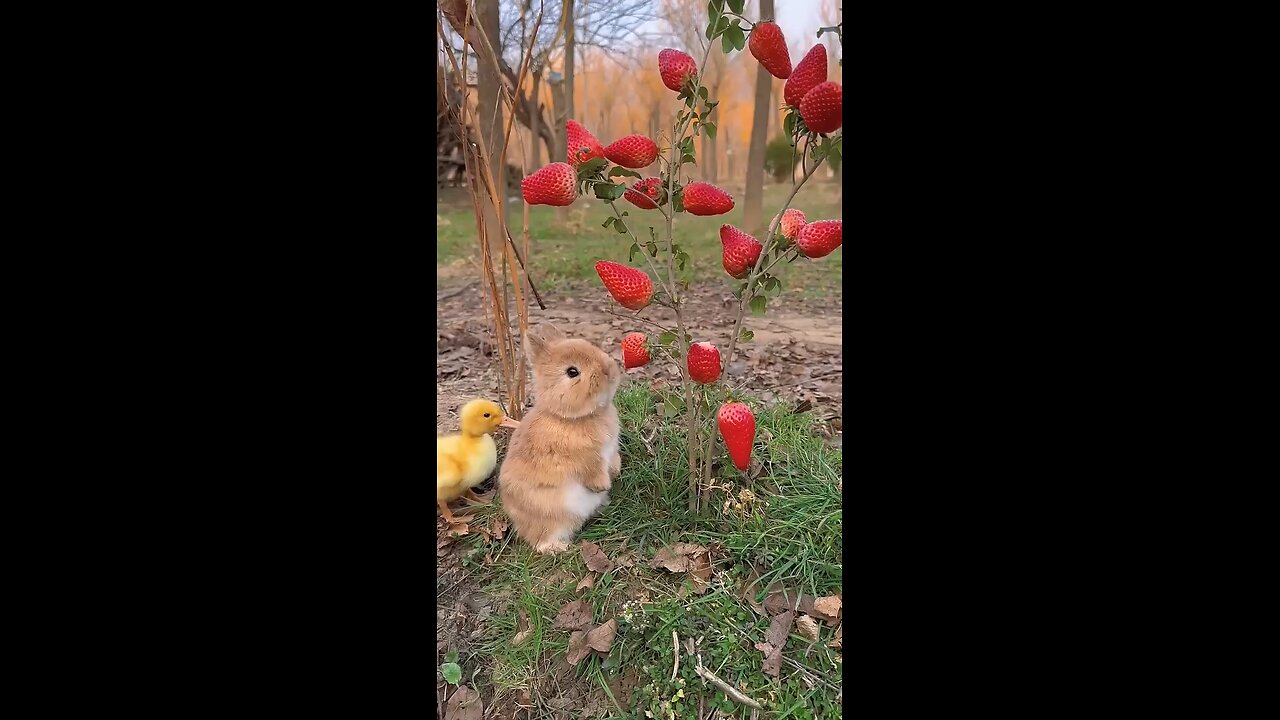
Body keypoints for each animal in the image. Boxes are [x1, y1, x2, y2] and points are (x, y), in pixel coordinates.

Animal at [496, 322, 622, 550]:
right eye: (572, 372)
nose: (609, 370)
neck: (569, 417)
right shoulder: (587, 459)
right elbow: (592, 471)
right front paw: (603, 485)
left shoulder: (610, 450)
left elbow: (613, 461)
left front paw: (615, 472)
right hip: (551, 517)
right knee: (541, 541)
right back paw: (560, 548)